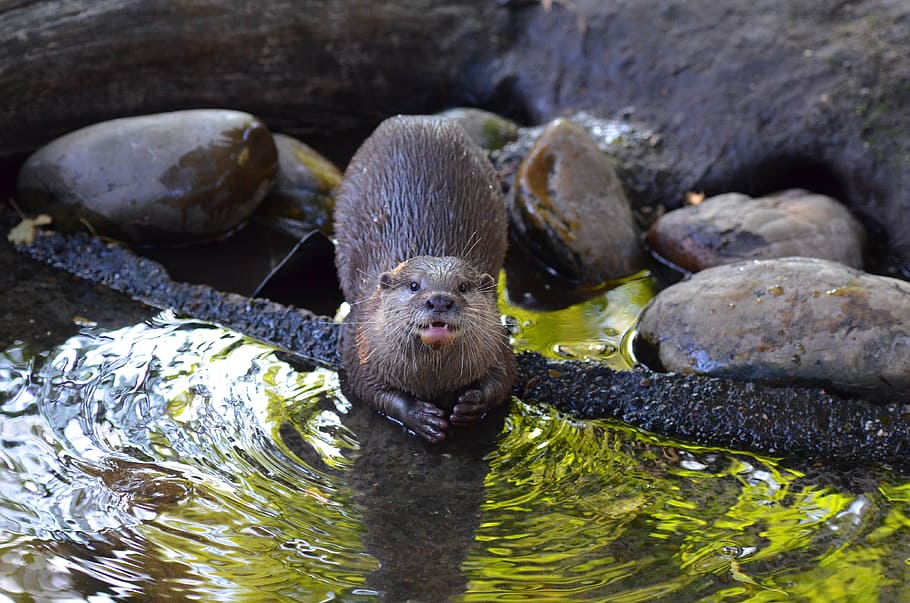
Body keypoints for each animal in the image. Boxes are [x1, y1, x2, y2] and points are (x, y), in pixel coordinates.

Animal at [333, 115, 516, 442]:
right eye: (414, 285)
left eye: (463, 286)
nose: (440, 300)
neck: (433, 381)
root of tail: (420, 119)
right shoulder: (363, 344)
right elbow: (369, 389)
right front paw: (419, 417)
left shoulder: (498, 342)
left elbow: (505, 377)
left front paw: (471, 404)